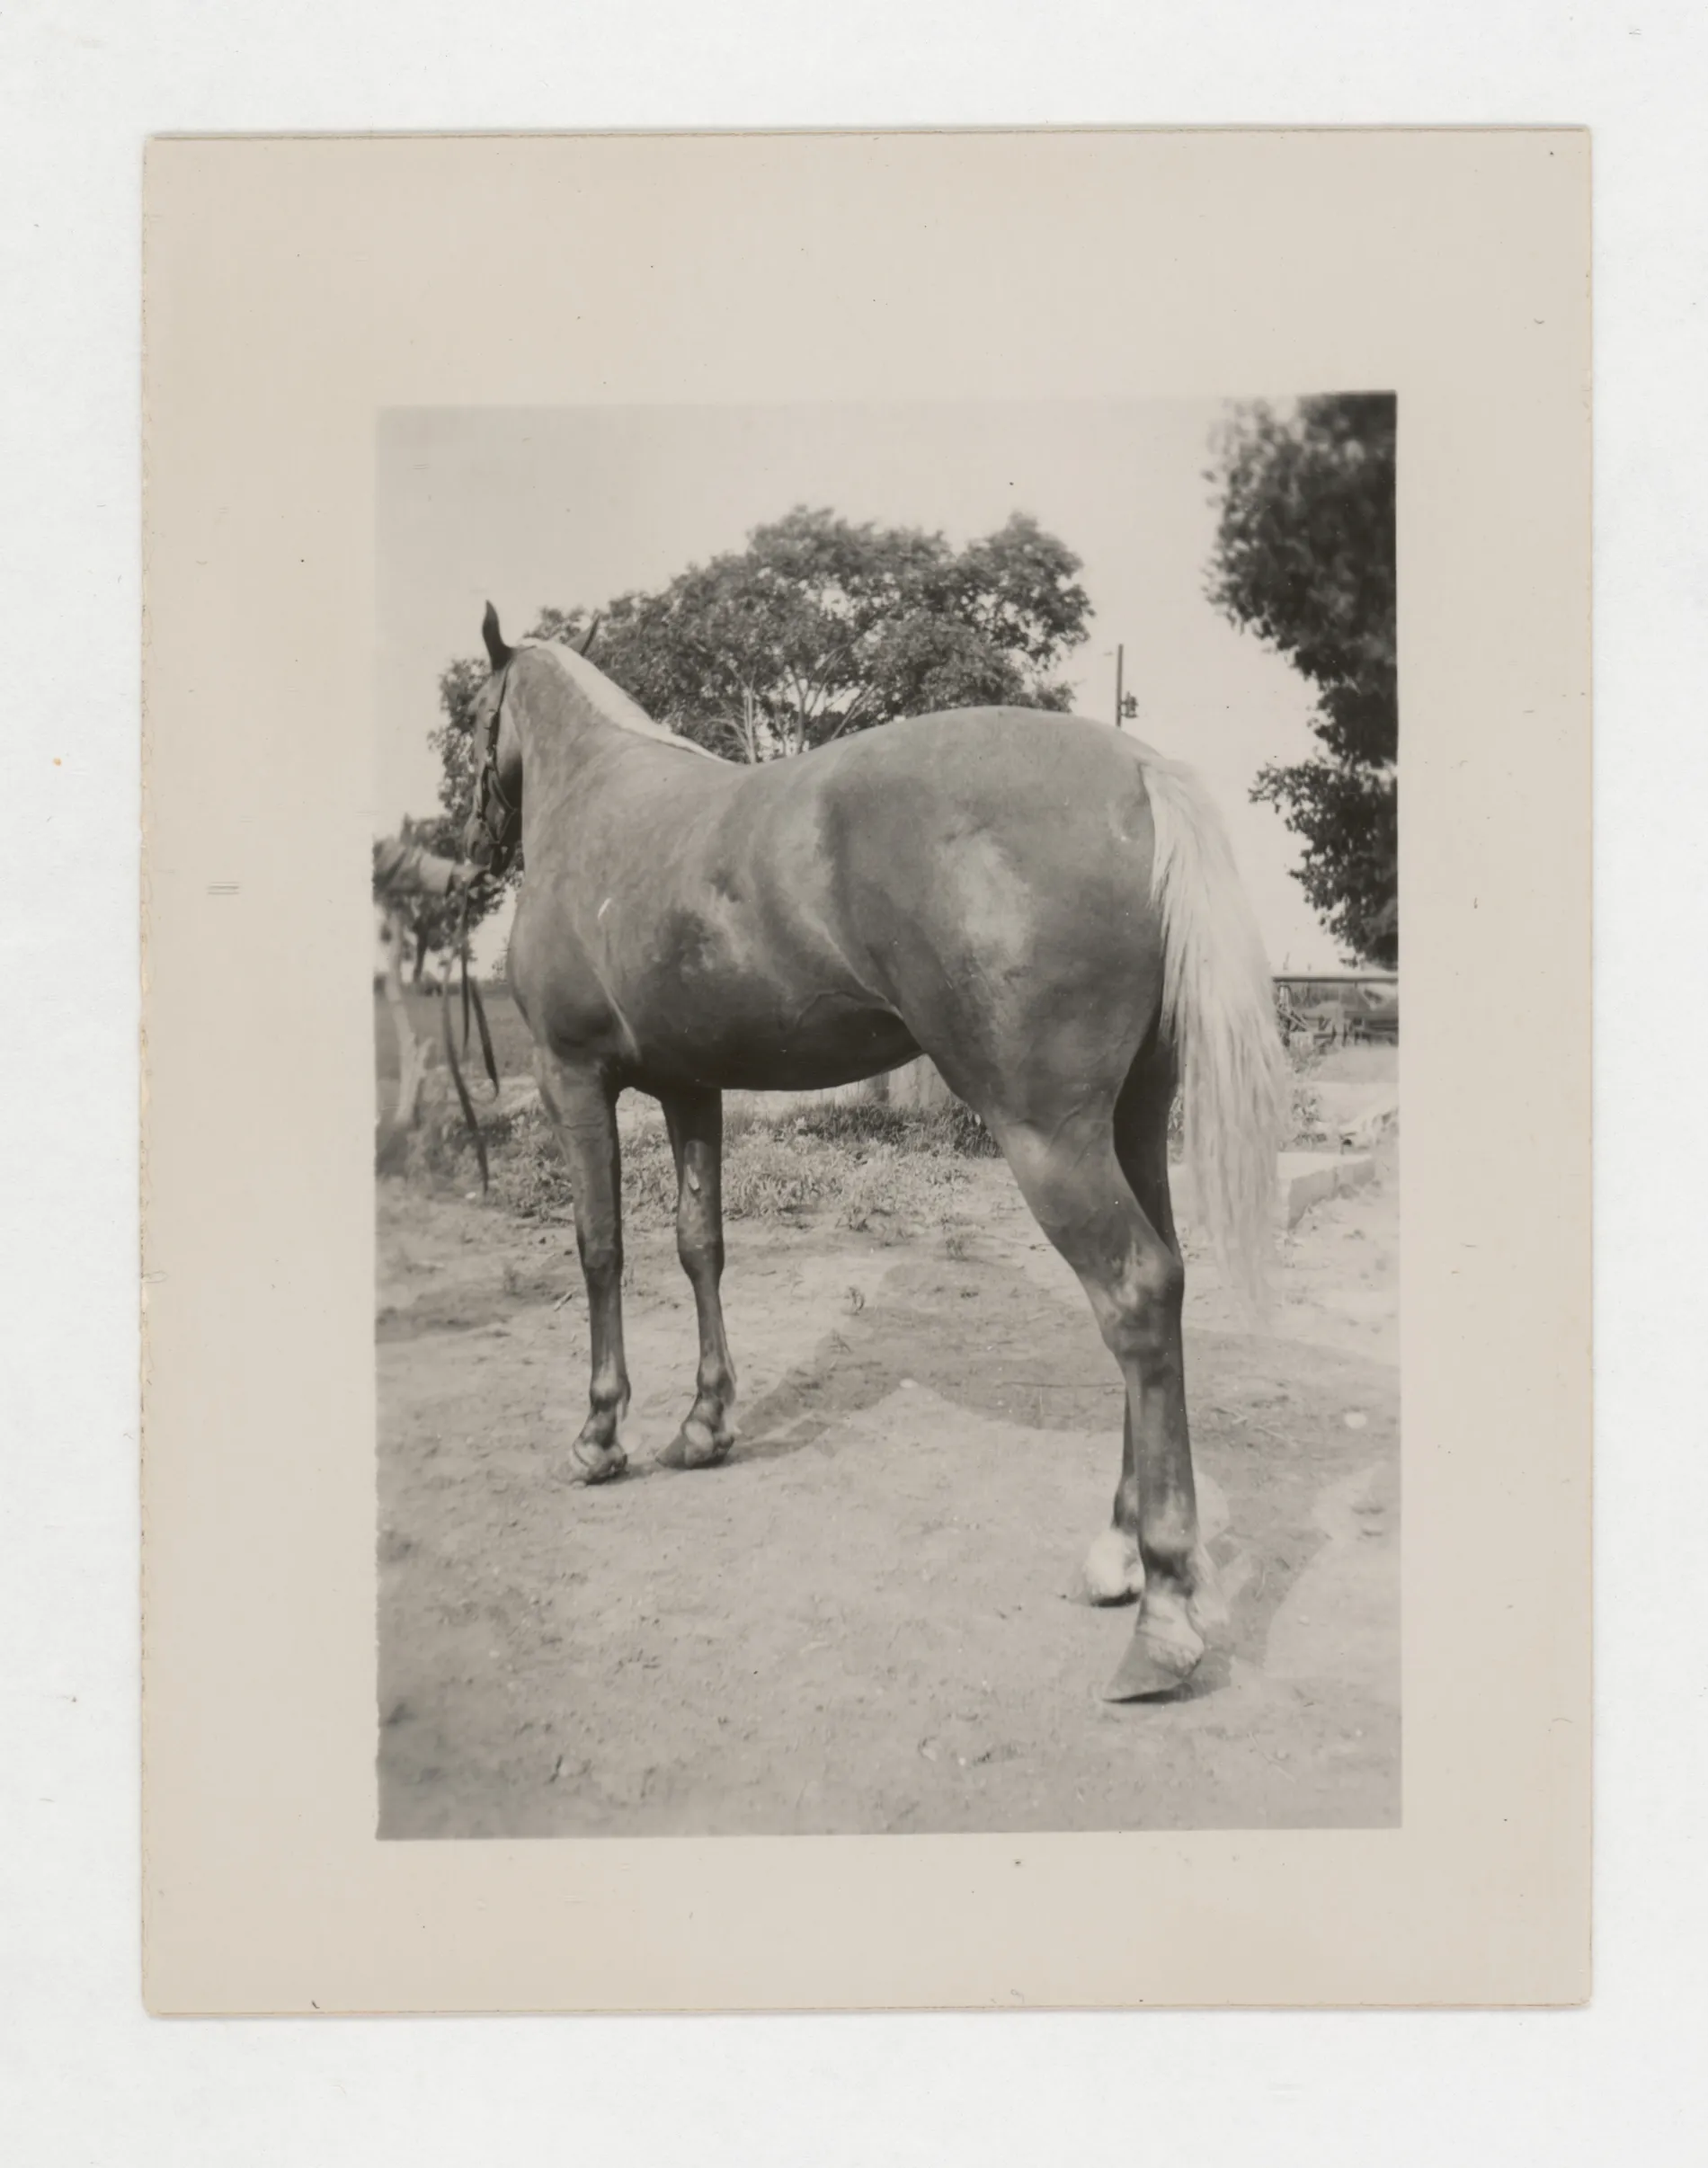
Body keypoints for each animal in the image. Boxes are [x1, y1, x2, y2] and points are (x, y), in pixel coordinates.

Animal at [462, 604, 1287, 1701]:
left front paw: (598, 1438)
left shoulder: (573, 1082)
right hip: (1135, 1120)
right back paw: (1118, 1556)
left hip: (1049, 1136)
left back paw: (1161, 1616)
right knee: (1168, 1285)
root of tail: (1138, 770)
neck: (601, 803)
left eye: (471, 721)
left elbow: (601, 1252)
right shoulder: (690, 1089)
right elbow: (698, 1245)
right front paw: (703, 1426)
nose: (469, 842)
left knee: (1137, 1296)